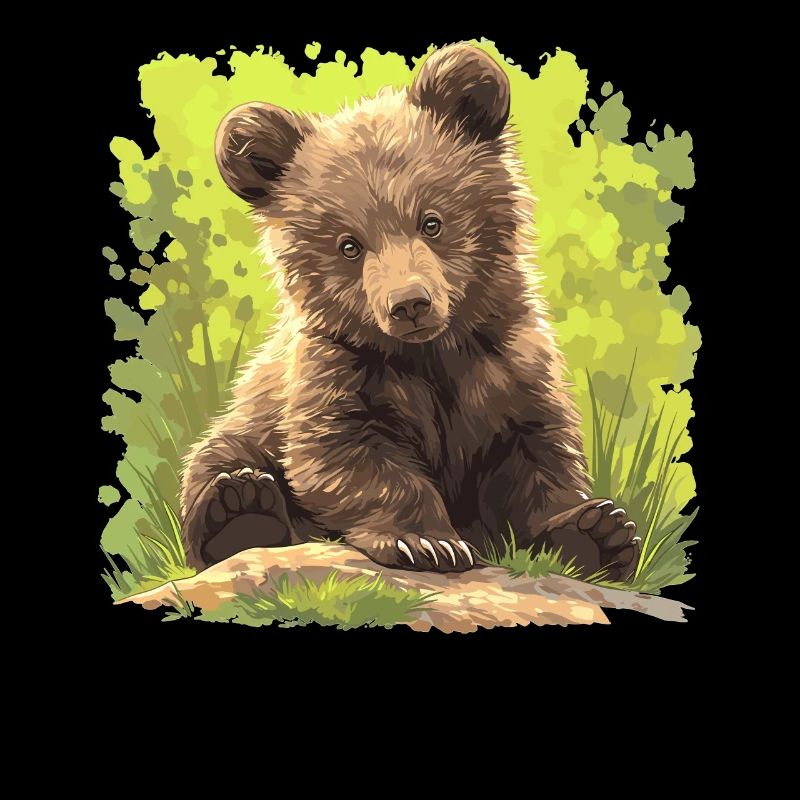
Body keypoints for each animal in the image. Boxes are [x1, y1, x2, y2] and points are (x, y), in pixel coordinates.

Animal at [179, 43, 641, 582]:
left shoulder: (510, 366)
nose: (409, 303)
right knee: (216, 460)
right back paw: (239, 506)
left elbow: (537, 456)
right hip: (247, 423)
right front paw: (428, 542)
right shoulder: (340, 372)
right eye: (349, 245)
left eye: (432, 221)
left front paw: (597, 532)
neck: (433, 353)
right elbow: (348, 457)